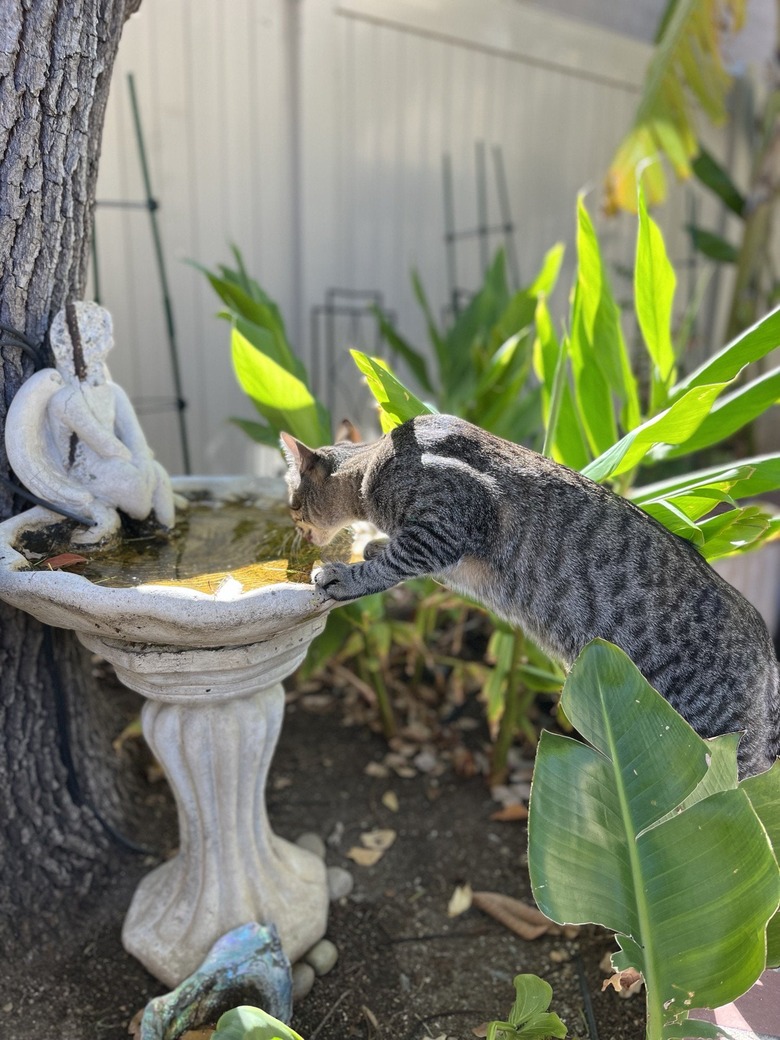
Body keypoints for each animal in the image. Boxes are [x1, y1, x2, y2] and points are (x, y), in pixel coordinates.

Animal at [282, 409, 780, 777]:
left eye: (292, 502)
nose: (295, 529)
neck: (379, 460)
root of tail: (769, 652)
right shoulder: (448, 555)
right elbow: (402, 557)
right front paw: (372, 545)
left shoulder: (451, 518)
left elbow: (394, 563)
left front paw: (347, 576)